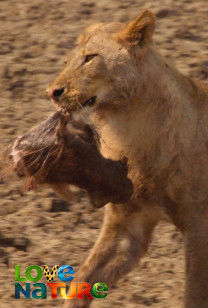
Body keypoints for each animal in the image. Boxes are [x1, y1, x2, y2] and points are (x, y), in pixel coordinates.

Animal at [45, 9, 208, 308]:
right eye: (67, 60)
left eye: (90, 57)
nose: (52, 92)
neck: (128, 128)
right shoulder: (128, 226)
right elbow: (83, 279)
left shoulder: (199, 227)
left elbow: (194, 294)